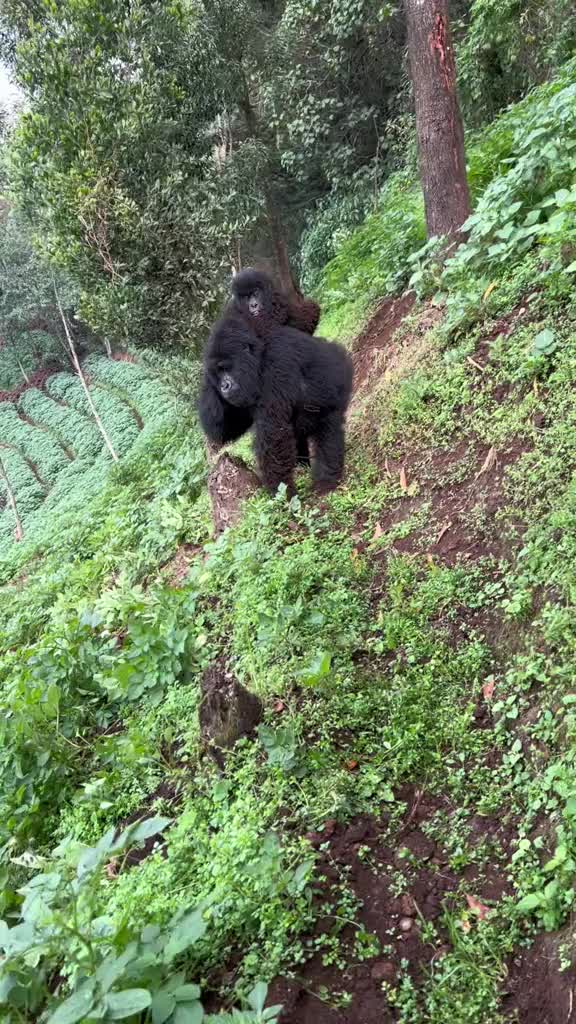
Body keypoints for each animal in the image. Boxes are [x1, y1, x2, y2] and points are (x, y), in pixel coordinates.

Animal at [195, 296, 350, 495]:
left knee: (328, 431)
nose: (224, 386)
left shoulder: (276, 362)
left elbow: (274, 433)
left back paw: (326, 480)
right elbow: (227, 428)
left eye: (225, 368)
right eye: (217, 373)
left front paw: (282, 494)